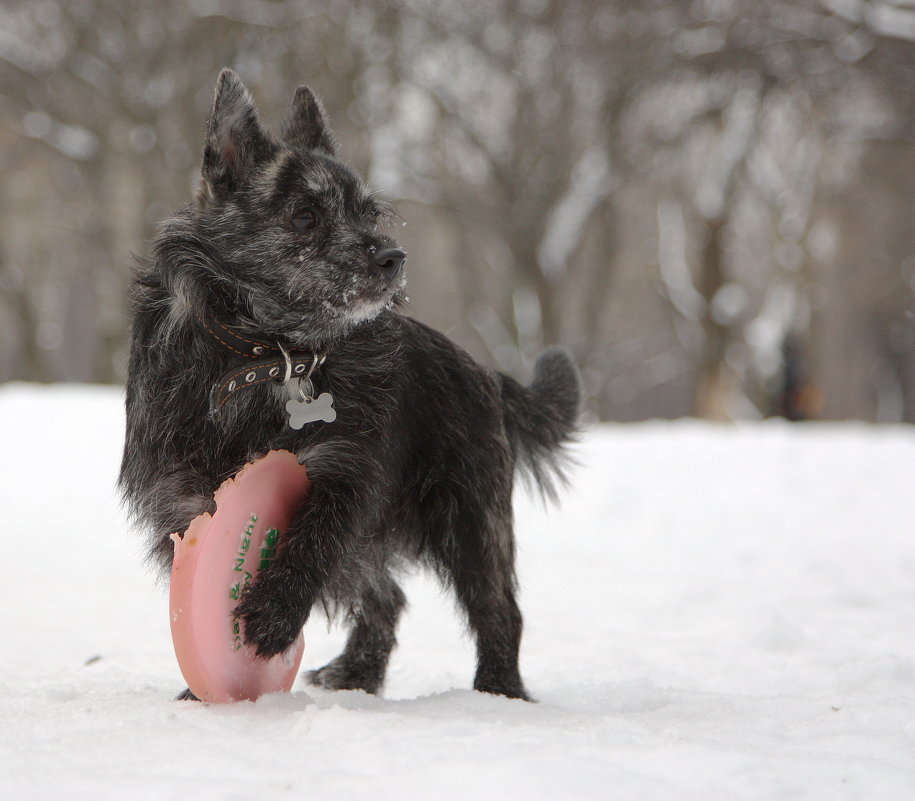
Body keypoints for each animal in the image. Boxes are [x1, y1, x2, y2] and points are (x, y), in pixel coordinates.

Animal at [118, 70, 584, 700]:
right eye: (304, 216)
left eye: (369, 213)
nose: (392, 257)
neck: (269, 353)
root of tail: (484, 372)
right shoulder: (183, 492)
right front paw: (201, 693)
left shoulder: (344, 470)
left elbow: (312, 539)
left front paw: (273, 614)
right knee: (387, 596)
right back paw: (358, 672)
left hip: (469, 520)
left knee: (495, 608)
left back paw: (498, 691)